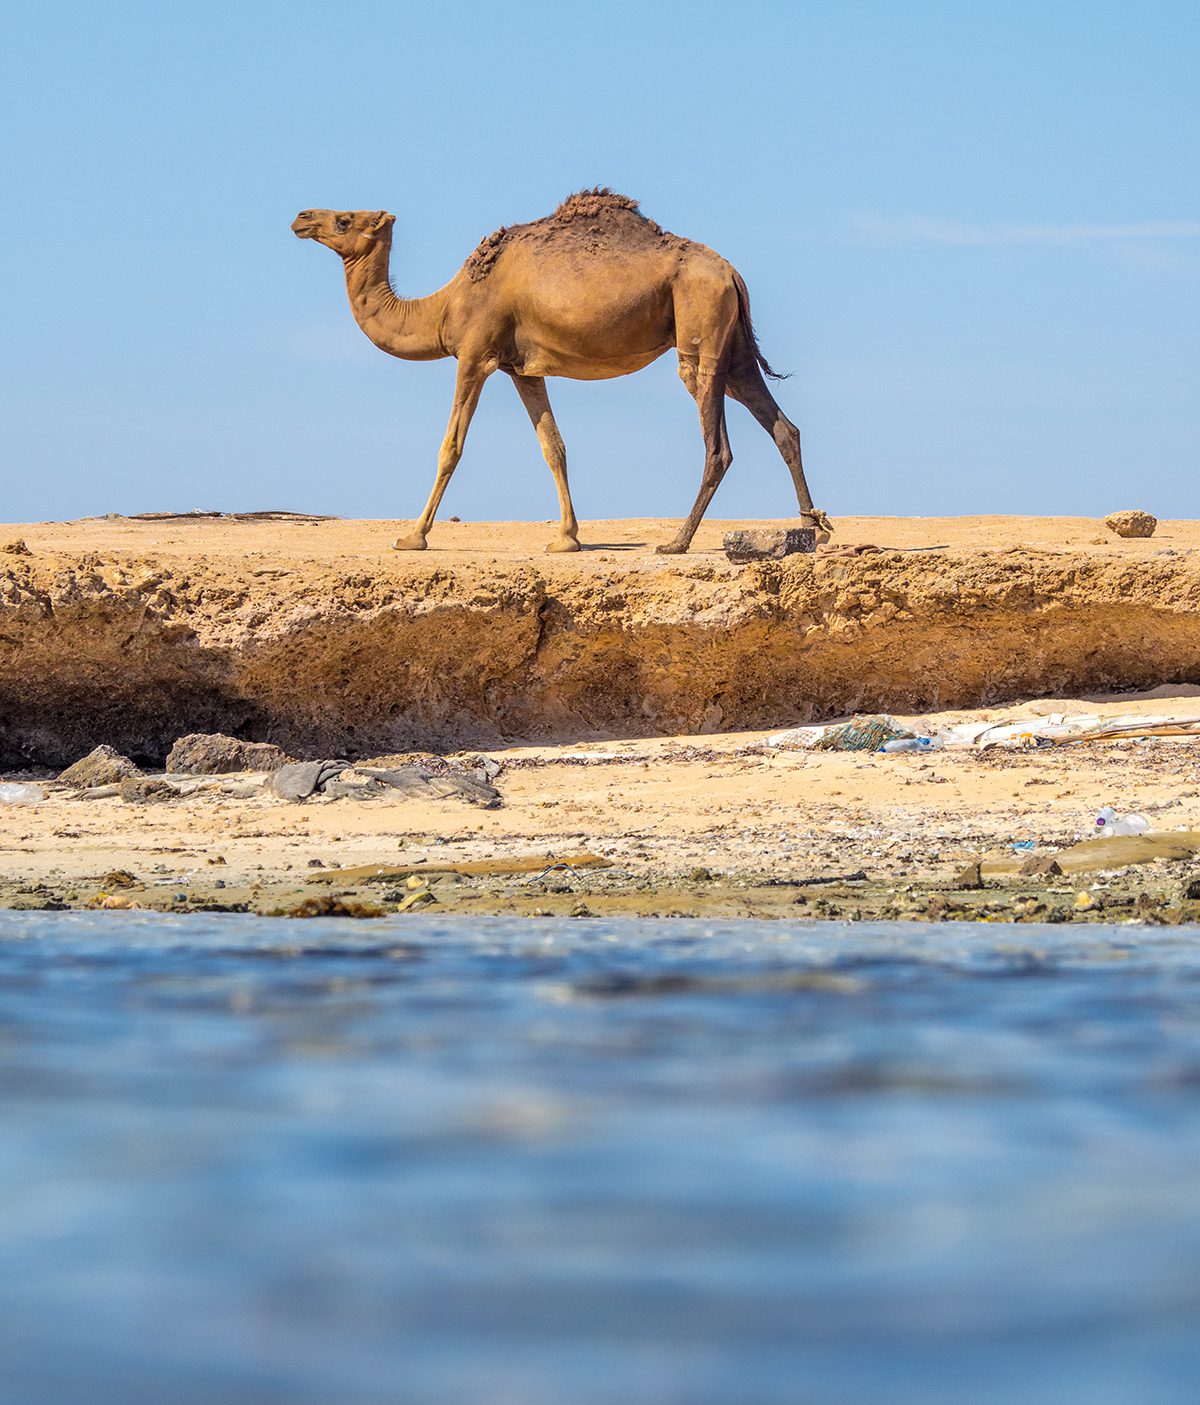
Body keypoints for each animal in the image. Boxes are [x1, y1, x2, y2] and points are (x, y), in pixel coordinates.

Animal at [290, 192, 826, 553]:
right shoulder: (520, 369)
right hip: (733, 348)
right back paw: (813, 527)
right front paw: (567, 538)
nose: (300, 216)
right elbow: (554, 446)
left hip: (700, 329)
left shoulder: (475, 353)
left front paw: (412, 536)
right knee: (784, 426)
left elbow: (451, 447)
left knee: (718, 446)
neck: (445, 306)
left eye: (344, 218)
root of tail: (732, 273)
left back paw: (677, 541)